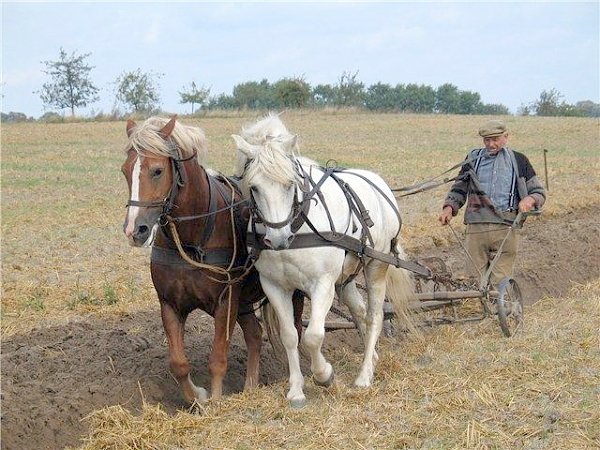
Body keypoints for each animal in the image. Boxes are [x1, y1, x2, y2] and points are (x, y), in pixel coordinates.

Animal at [120, 117, 300, 404]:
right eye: (126, 170)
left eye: (157, 171)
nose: (134, 230)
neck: (192, 239)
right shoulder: (169, 304)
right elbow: (178, 363)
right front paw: (198, 397)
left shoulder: (226, 302)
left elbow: (218, 359)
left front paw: (215, 401)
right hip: (245, 302)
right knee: (255, 334)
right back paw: (250, 387)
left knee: (294, 332)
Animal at [232, 113, 414, 408]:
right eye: (254, 187)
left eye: (290, 184)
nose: (278, 238)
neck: (297, 228)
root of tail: (379, 184)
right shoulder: (274, 286)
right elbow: (290, 336)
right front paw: (296, 390)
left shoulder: (323, 284)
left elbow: (313, 336)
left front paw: (324, 375)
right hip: (347, 277)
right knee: (359, 311)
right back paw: (372, 357)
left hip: (377, 265)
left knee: (374, 315)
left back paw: (364, 375)